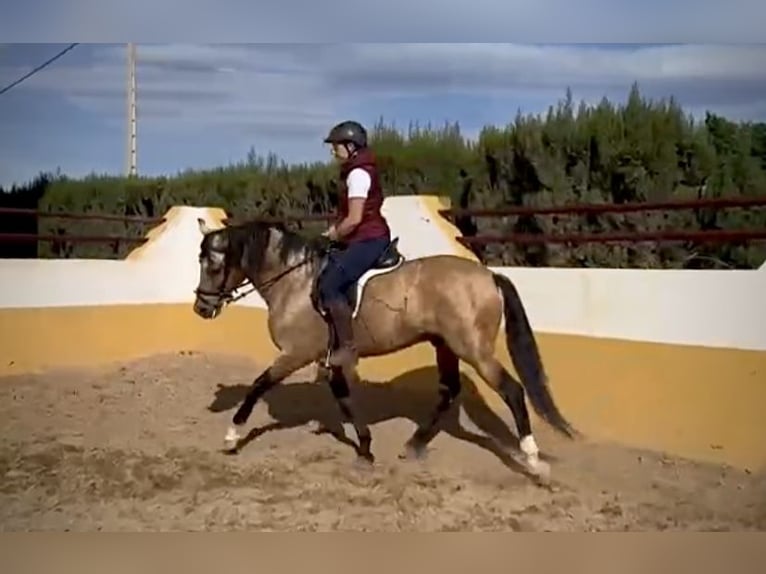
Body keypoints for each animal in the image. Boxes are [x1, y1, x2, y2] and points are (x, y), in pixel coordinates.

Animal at [192, 216, 576, 482]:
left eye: (213, 264)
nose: (201, 308)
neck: (294, 281)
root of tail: (488, 275)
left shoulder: (296, 352)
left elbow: (259, 385)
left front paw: (231, 436)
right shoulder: (331, 358)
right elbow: (344, 399)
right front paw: (365, 449)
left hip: (473, 349)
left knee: (512, 390)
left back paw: (532, 461)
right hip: (445, 345)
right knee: (449, 390)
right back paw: (414, 445)